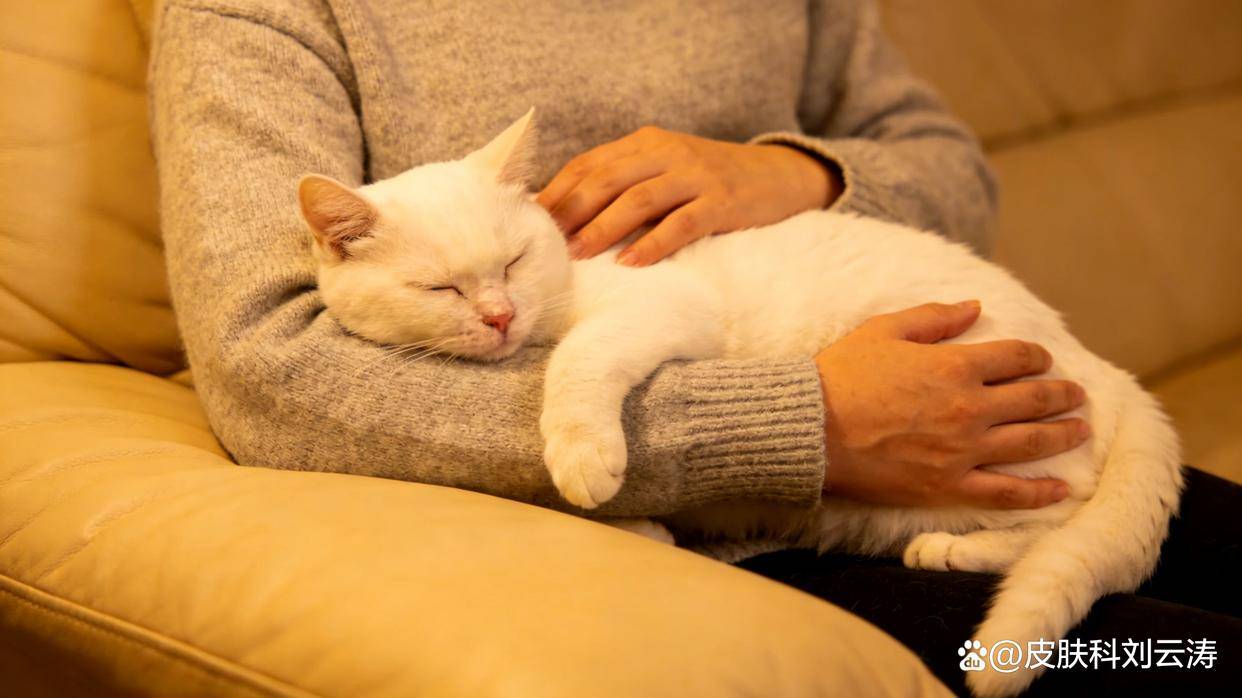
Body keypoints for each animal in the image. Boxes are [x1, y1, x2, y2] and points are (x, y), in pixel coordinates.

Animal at [297, 110, 1182, 697]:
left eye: (513, 263)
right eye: (440, 288)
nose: (499, 316)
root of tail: (1100, 365)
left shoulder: (662, 307)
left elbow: (580, 364)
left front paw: (584, 455)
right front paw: (638, 523)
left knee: (1063, 519)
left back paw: (953, 552)